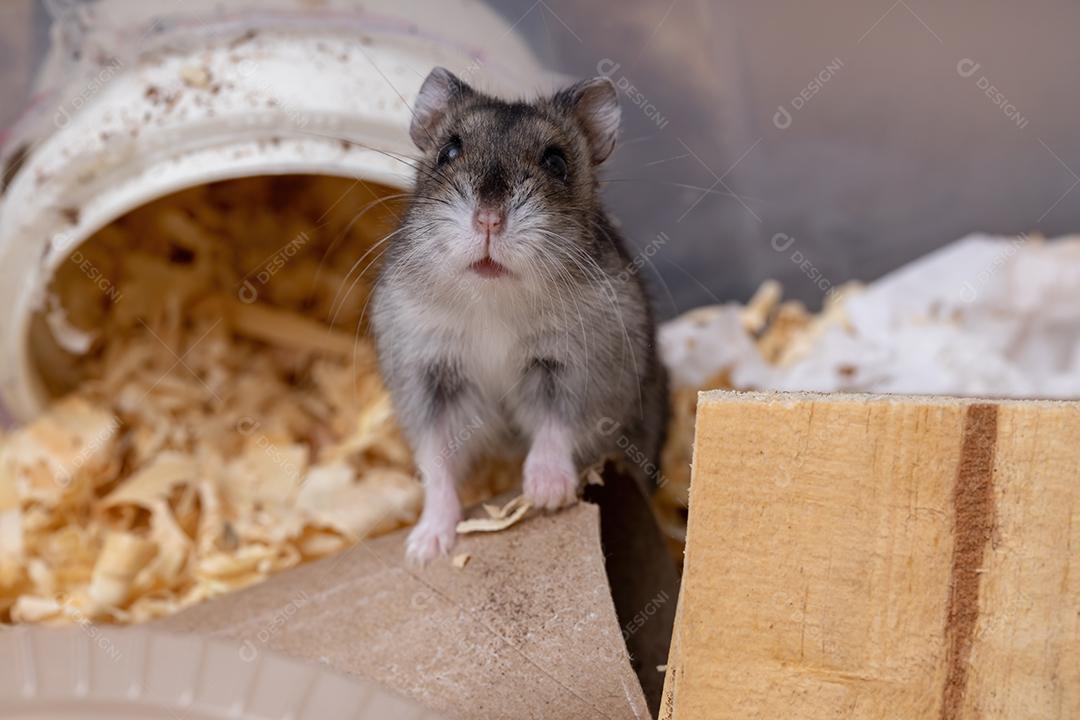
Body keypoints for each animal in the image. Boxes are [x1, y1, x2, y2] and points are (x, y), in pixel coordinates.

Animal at [371, 67, 669, 562]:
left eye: (556, 163)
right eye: (449, 151)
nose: (489, 220)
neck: (493, 298)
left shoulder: (582, 370)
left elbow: (556, 426)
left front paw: (547, 495)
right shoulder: (429, 379)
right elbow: (437, 460)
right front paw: (426, 547)